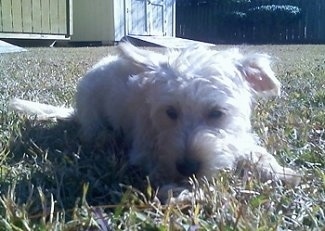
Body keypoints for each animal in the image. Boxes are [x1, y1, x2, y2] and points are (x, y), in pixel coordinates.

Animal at [9, 42, 298, 196]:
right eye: (170, 112)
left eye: (216, 113)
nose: (188, 167)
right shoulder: (146, 150)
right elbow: (161, 171)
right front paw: (182, 193)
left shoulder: (236, 137)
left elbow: (256, 153)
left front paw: (280, 172)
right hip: (90, 104)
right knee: (91, 131)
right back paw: (105, 137)